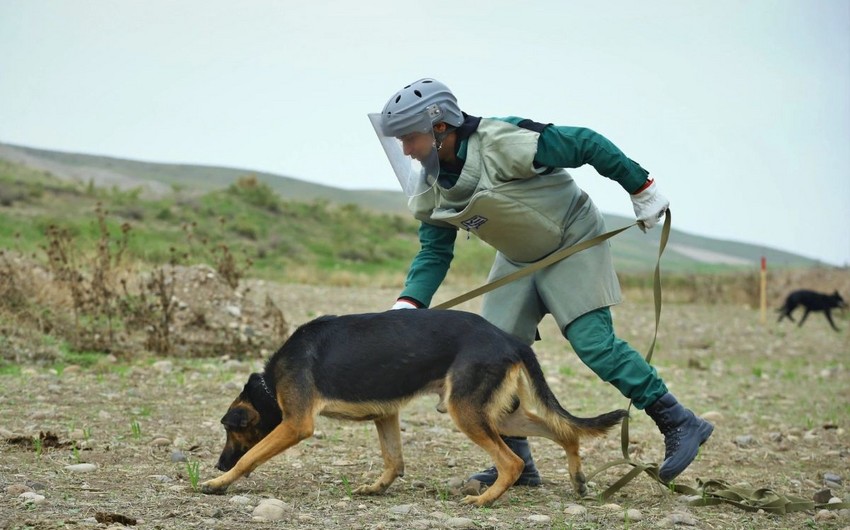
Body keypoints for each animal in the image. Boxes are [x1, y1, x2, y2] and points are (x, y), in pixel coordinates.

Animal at [202, 308, 628, 506]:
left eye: (229, 429)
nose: (218, 464)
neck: (270, 384)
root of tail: (509, 340)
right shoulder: (385, 415)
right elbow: (394, 460)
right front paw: (377, 488)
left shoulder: (296, 424)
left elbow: (251, 456)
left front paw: (220, 483)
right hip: (503, 414)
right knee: (564, 431)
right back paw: (577, 477)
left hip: (466, 411)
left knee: (512, 462)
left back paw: (485, 501)